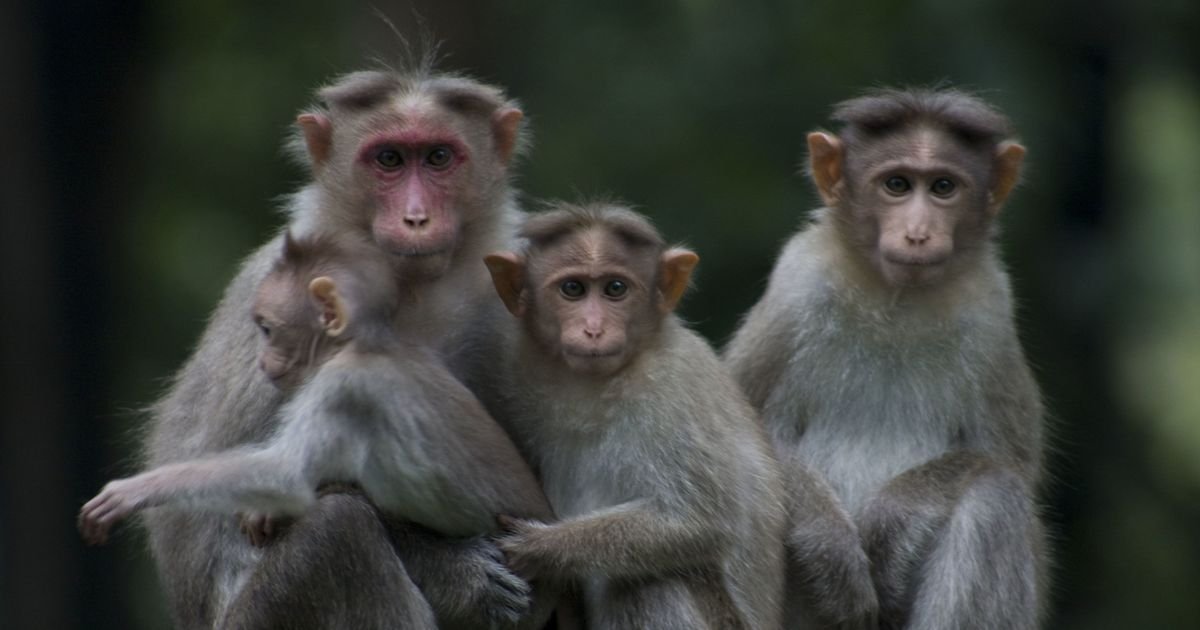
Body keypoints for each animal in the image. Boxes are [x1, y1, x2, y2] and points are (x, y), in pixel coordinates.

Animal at [80, 231, 554, 548]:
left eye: (267, 329)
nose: (261, 361)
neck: (366, 343)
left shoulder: (341, 389)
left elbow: (285, 476)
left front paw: (137, 490)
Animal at [137, 62, 541, 630]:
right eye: (388, 159)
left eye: (438, 157)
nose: (416, 218)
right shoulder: (271, 300)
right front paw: (460, 575)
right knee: (339, 531)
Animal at [483, 202, 788, 630]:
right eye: (573, 289)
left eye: (615, 289)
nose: (594, 329)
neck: (594, 386)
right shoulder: (517, 369)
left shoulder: (671, 393)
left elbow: (702, 522)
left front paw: (542, 548)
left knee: (648, 583)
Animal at [723, 87, 1046, 629]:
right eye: (897, 185)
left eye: (942, 187)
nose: (917, 233)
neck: (896, 303)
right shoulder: (795, 291)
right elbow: (734, 446)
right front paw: (829, 545)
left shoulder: (990, 314)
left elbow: (1010, 465)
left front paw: (896, 522)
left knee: (994, 496)